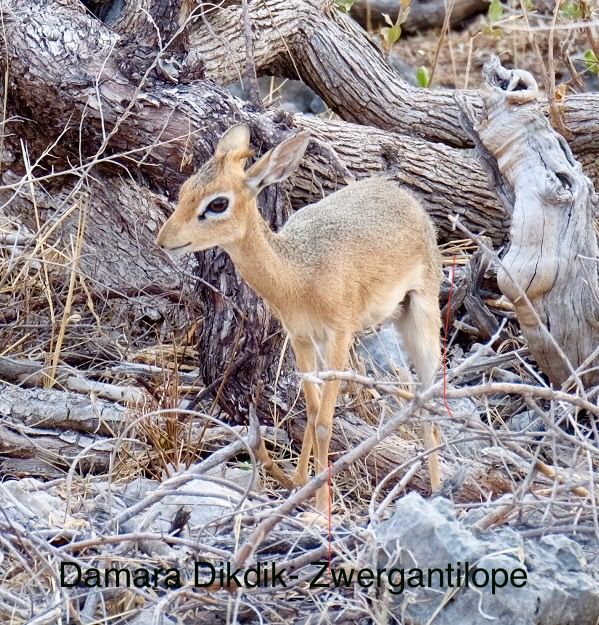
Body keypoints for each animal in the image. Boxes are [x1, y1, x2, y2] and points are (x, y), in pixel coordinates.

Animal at [157, 124, 442, 516]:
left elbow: (324, 422)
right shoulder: (302, 338)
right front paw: (299, 483)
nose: (164, 240)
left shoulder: (339, 335)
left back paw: (439, 487)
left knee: (427, 393)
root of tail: (401, 195)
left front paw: (321, 508)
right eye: (186, 189)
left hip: (422, 314)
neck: (298, 274)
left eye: (217, 203)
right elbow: (310, 409)